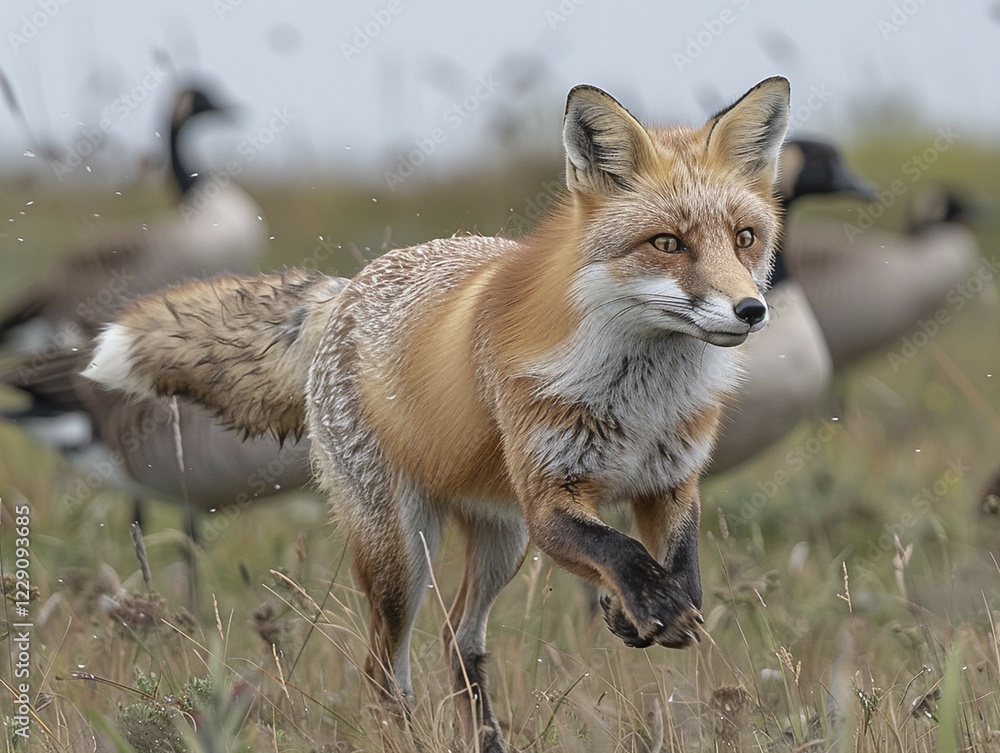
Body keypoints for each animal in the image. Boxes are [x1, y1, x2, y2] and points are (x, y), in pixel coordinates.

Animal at [84, 77, 790, 752]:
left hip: (500, 542)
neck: (641, 400)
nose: (752, 310)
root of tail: (349, 287)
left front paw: (641, 609)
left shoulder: (670, 481)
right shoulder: (548, 497)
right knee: (383, 674)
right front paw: (650, 605)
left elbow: (677, 562)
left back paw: (490, 741)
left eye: (745, 239)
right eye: (667, 243)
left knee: (459, 641)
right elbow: (620, 549)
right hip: (403, 556)